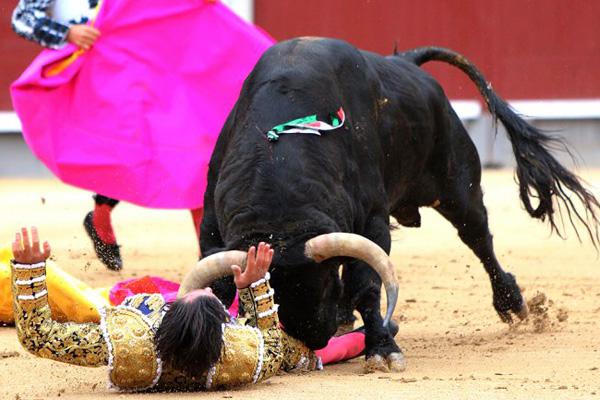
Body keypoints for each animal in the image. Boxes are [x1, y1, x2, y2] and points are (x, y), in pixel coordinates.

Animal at [199, 38, 596, 366]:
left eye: (322, 283)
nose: (314, 339)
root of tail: (406, 61)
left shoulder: (373, 223)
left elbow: (367, 284)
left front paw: (382, 349)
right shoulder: (211, 226)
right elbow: (217, 286)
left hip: (457, 186)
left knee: (479, 238)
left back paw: (512, 302)